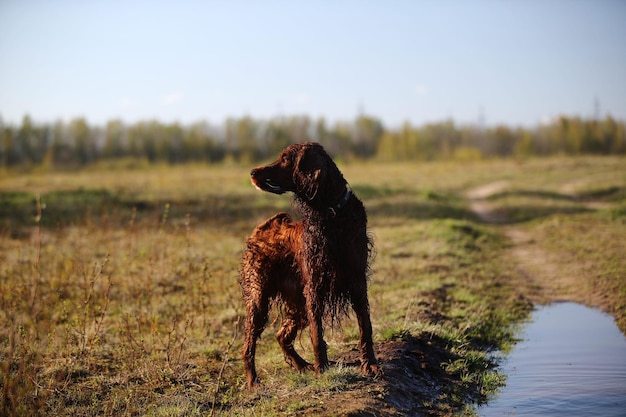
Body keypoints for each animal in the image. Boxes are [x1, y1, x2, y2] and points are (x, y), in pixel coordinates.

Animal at [238, 142, 376, 386]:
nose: (252, 172)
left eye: (285, 159)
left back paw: (302, 365)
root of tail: (259, 230)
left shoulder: (357, 281)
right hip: (259, 296)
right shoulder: (314, 286)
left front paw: (369, 365)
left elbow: (365, 327)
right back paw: (253, 381)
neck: (332, 215)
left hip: (298, 303)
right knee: (249, 344)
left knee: (281, 335)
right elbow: (317, 335)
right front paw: (322, 369)